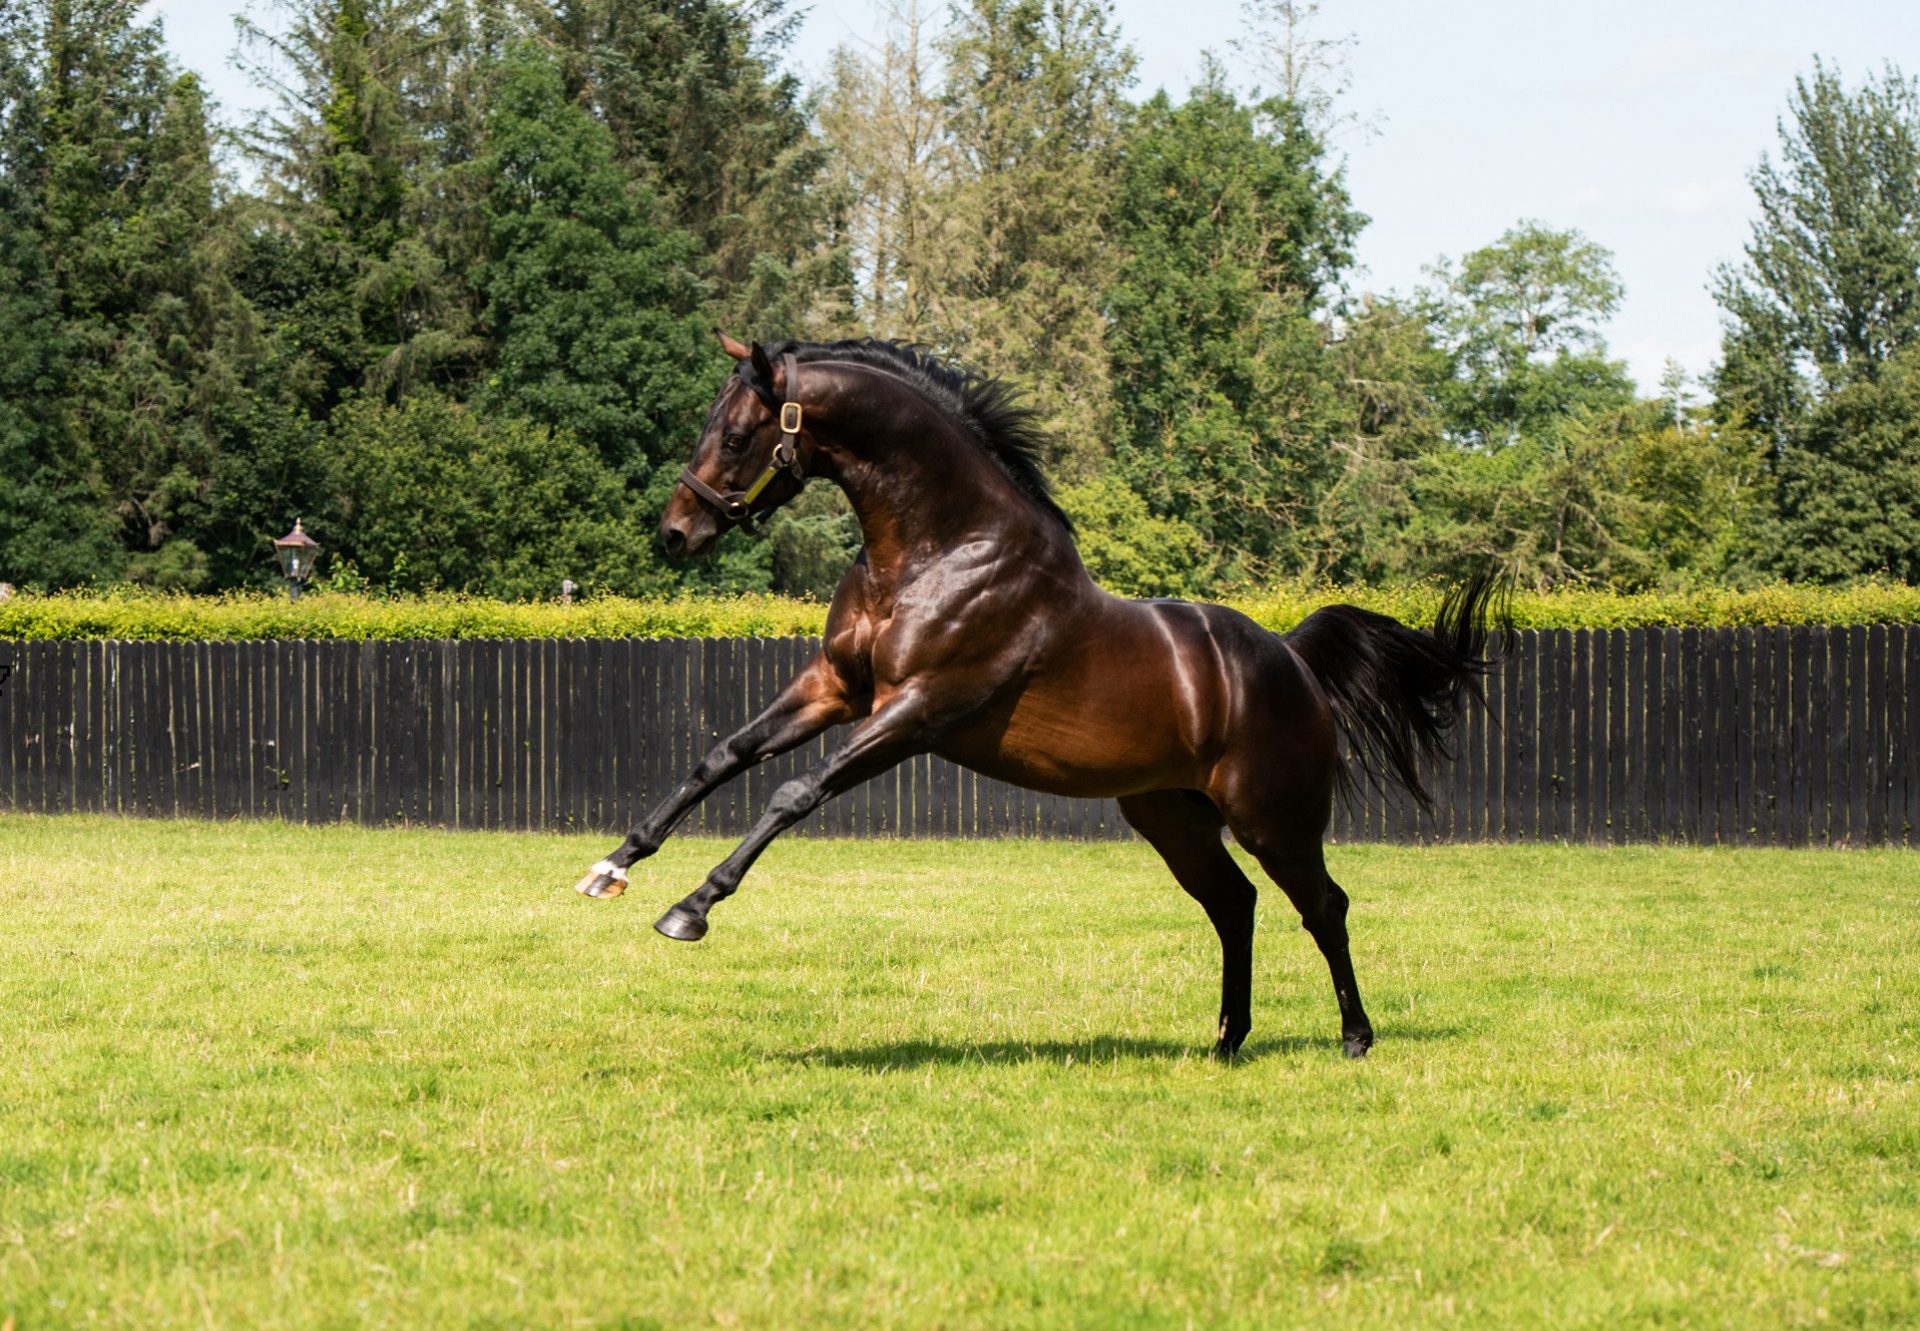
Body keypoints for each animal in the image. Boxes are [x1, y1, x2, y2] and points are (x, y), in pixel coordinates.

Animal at [568, 332, 1497, 1060]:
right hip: (1171, 817)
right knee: (1235, 905)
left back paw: (1355, 1036)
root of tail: (1291, 658)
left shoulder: (916, 711)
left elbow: (793, 791)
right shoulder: (835, 687)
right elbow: (723, 755)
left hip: (1276, 818)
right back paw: (1227, 1039)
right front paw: (612, 865)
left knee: (1324, 906)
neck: (944, 551)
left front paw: (690, 908)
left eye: (736, 434)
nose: (675, 532)